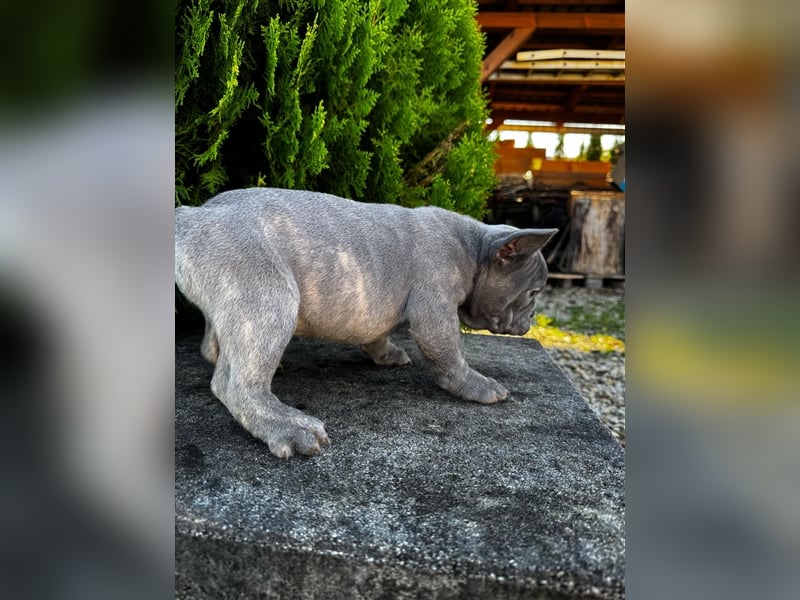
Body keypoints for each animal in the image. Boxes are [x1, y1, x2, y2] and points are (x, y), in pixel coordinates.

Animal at [175, 189, 556, 460]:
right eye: (533, 293)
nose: (531, 320)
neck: (475, 248)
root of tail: (193, 216)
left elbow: (377, 335)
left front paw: (386, 354)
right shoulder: (435, 310)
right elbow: (449, 357)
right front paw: (476, 385)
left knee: (217, 345)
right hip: (268, 296)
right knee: (236, 384)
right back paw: (286, 424)